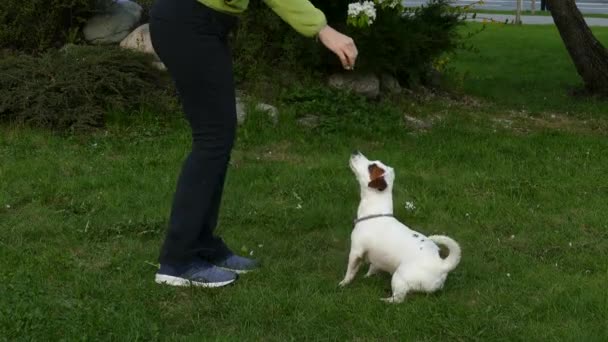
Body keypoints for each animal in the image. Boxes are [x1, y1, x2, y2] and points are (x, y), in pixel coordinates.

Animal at [340, 151, 464, 304]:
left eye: (371, 167)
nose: (355, 152)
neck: (376, 213)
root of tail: (442, 265)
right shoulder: (375, 258)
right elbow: (372, 267)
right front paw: (367, 276)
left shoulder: (356, 251)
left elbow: (350, 271)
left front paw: (344, 283)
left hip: (399, 276)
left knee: (399, 298)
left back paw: (384, 300)